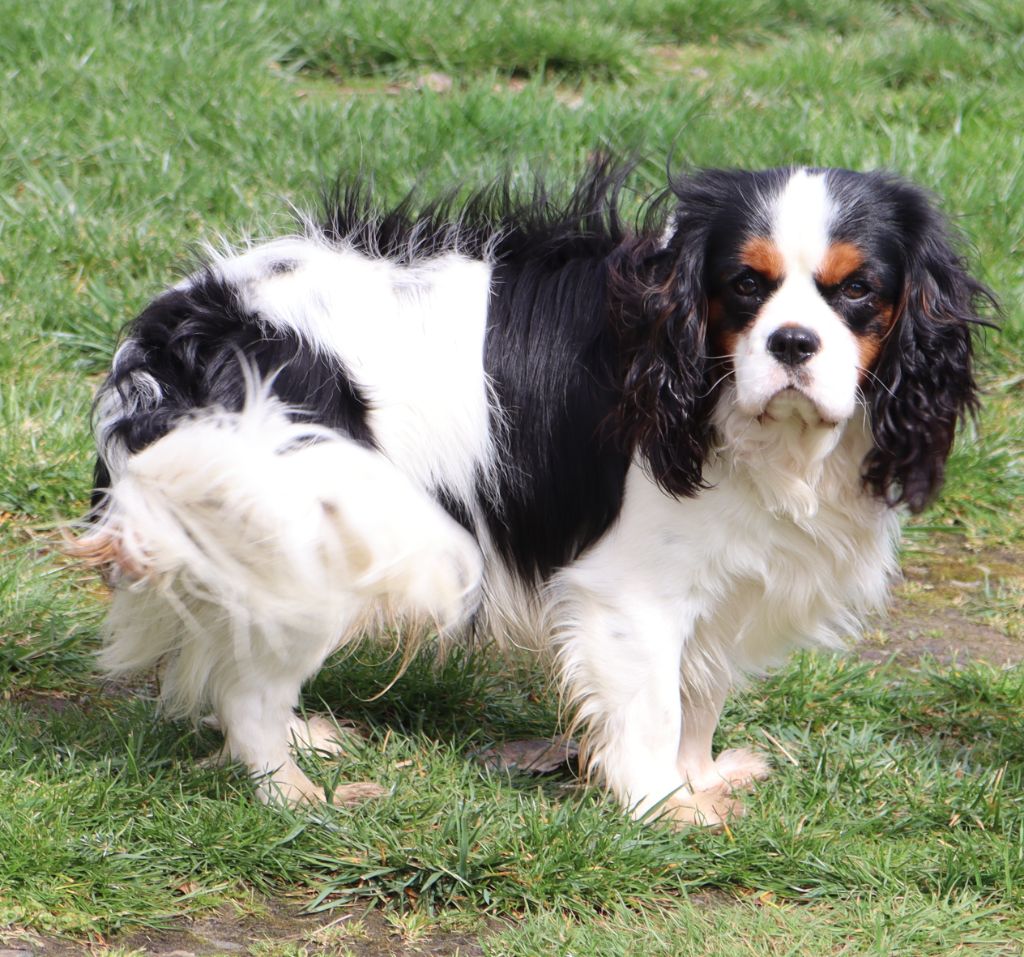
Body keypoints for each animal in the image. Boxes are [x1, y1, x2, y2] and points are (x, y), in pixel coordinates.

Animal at [74, 162, 991, 825]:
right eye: (744, 285)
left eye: (858, 290)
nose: (794, 342)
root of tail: (177, 334)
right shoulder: (631, 594)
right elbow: (652, 706)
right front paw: (661, 806)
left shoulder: (725, 585)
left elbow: (698, 694)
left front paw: (699, 780)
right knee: (249, 686)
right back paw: (289, 789)